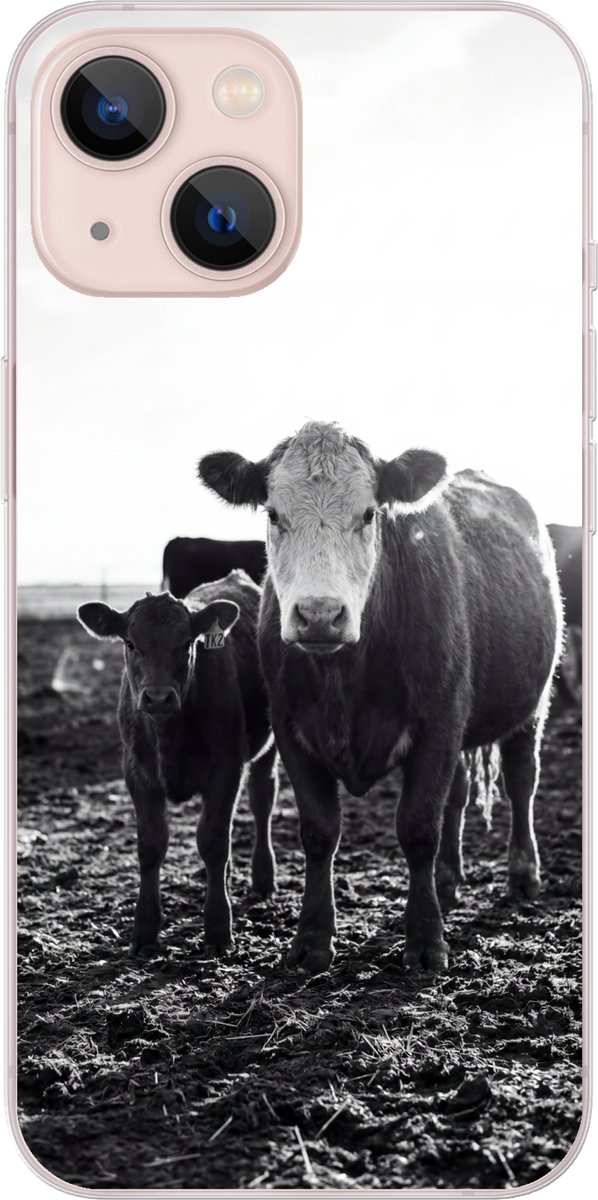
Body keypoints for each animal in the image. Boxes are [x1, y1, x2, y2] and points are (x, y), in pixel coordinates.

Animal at [77, 571, 278, 956]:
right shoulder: (137, 773)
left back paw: (262, 878)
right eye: (130, 643)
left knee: (263, 799)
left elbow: (213, 841)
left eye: (187, 643)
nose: (157, 698)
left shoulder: (227, 767)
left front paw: (217, 928)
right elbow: (151, 845)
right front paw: (144, 930)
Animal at [198, 421, 563, 975]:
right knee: (457, 796)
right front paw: (312, 939)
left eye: (369, 513)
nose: (320, 615)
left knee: (522, 781)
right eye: (274, 513)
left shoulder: (438, 724)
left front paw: (426, 941)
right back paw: (449, 881)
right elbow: (319, 832)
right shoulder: (292, 729)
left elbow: (418, 829)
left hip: (530, 705)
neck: (346, 678)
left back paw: (523, 875)